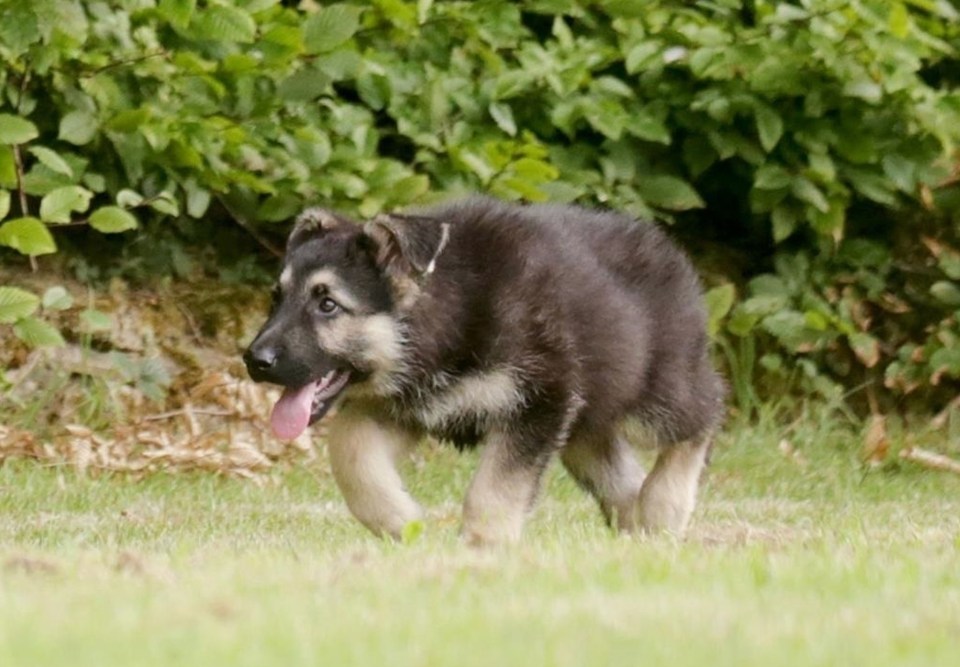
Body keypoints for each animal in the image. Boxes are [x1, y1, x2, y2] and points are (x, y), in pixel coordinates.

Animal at [244, 196, 724, 544]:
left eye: (327, 304)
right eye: (277, 298)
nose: (254, 360)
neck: (446, 314)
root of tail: (670, 251)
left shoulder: (539, 400)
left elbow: (494, 490)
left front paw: (482, 548)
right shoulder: (412, 406)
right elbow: (350, 449)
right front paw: (401, 520)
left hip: (656, 392)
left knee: (706, 413)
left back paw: (664, 509)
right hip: (586, 419)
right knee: (619, 474)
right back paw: (638, 533)